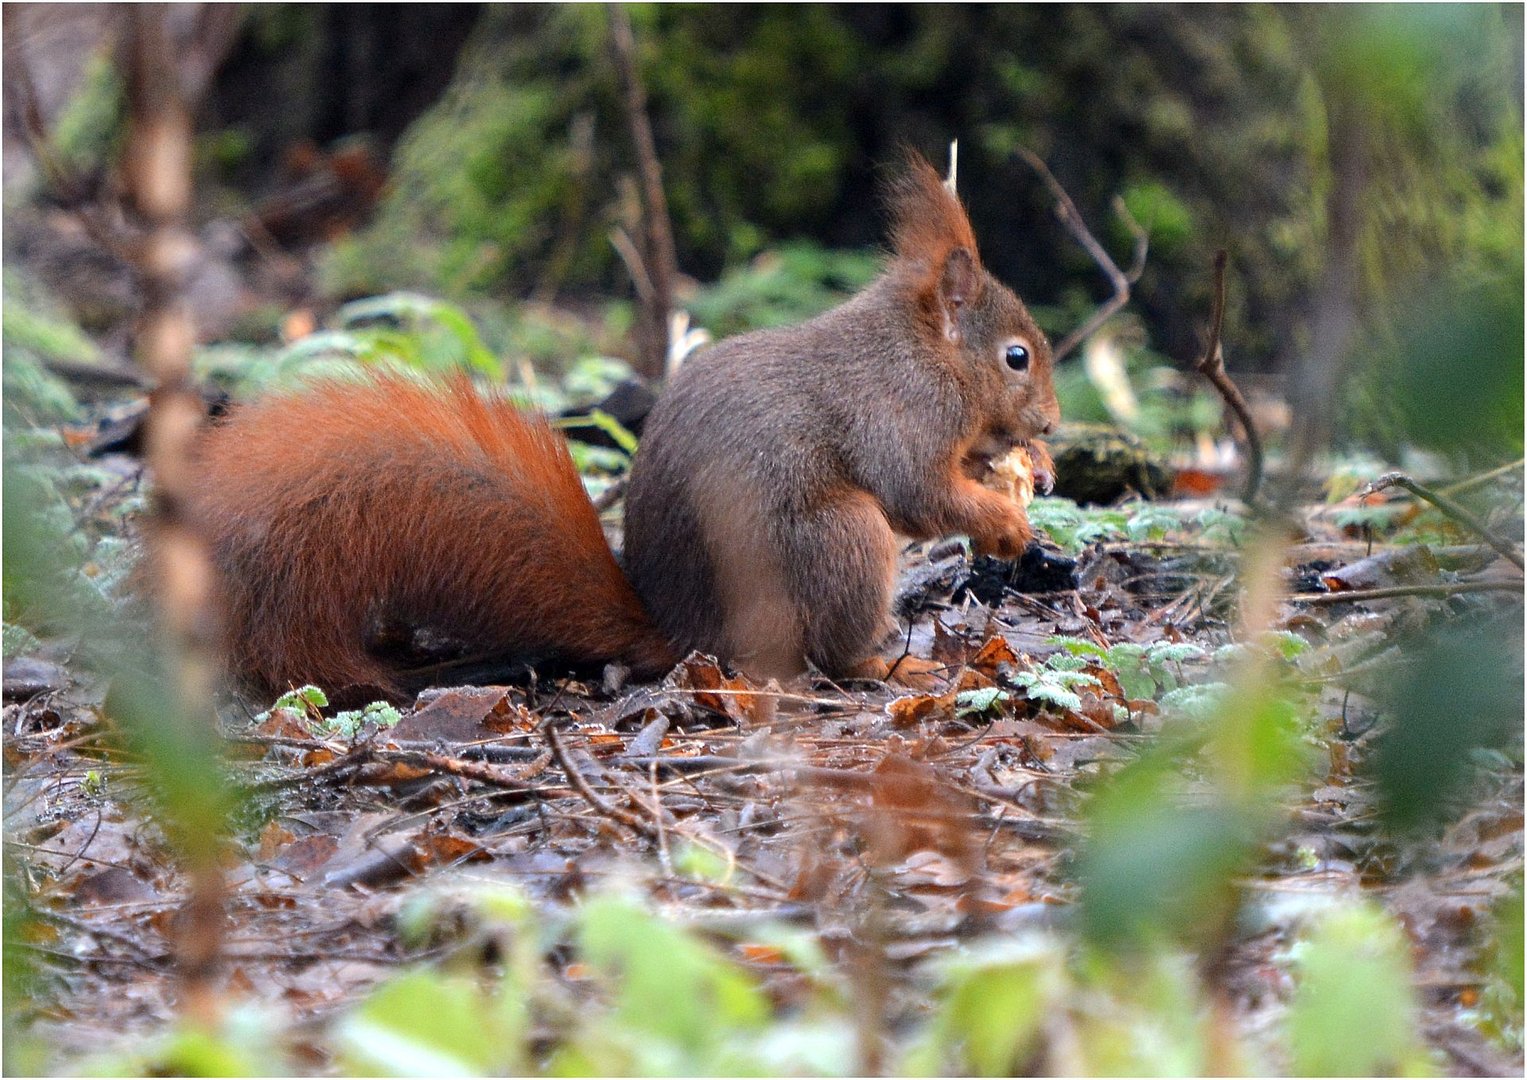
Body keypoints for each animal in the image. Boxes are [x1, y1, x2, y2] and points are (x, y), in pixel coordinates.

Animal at [181, 156, 1062, 705]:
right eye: (1015, 356)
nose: (1052, 419)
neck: (923, 352)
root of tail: (684, 634)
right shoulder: (897, 414)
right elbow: (918, 492)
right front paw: (1005, 520)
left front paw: (1034, 467)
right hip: (835, 543)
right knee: (833, 646)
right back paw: (884, 662)